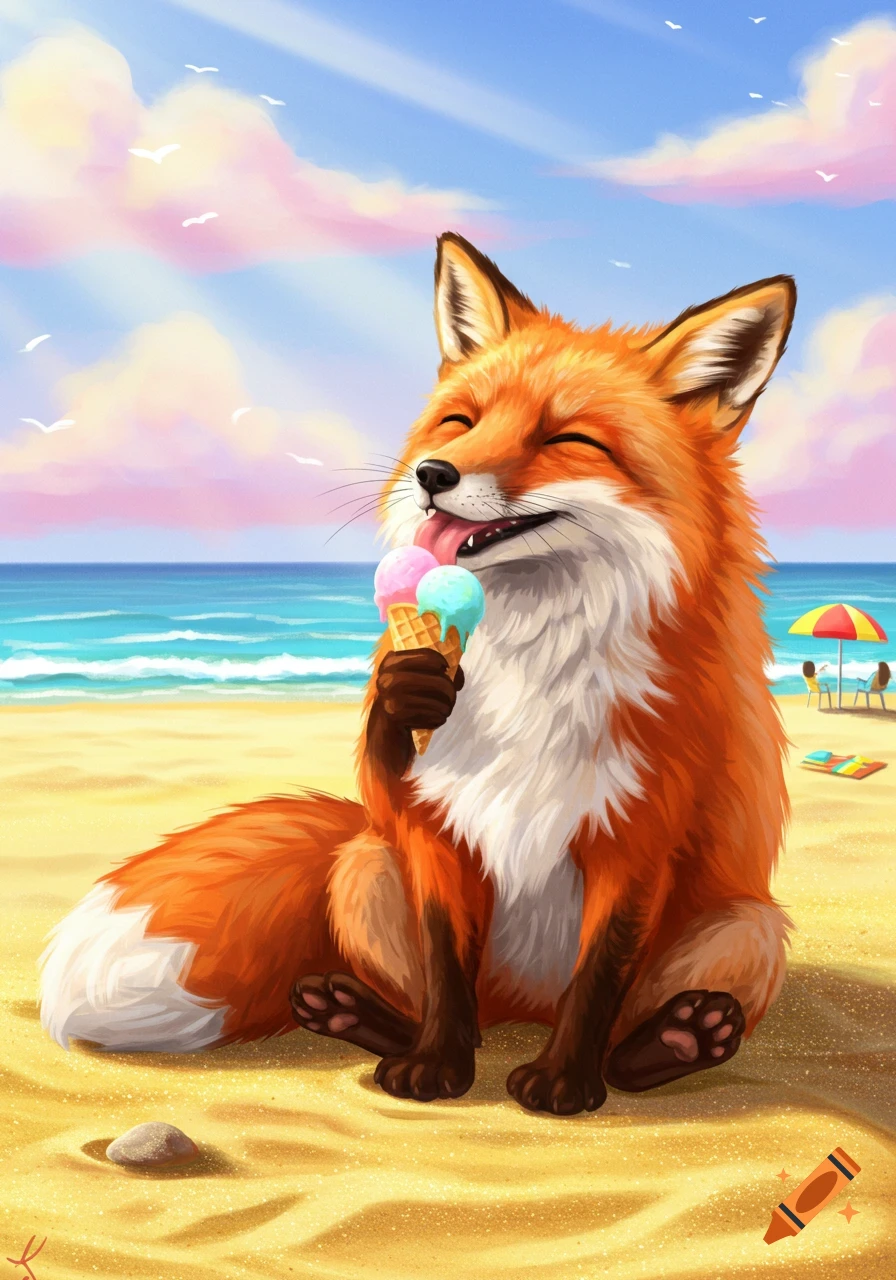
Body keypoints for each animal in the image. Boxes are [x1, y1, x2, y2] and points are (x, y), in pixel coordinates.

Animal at [40, 233, 795, 1116]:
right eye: (461, 421)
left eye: (568, 440)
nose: (434, 473)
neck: (537, 657)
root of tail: (521, 1007)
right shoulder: (432, 822)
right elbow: (442, 962)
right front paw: (434, 1067)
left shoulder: (640, 834)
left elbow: (599, 974)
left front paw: (564, 1082)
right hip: (365, 865)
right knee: (444, 998)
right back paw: (360, 1018)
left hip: (746, 924)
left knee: (632, 1026)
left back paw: (672, 1042)